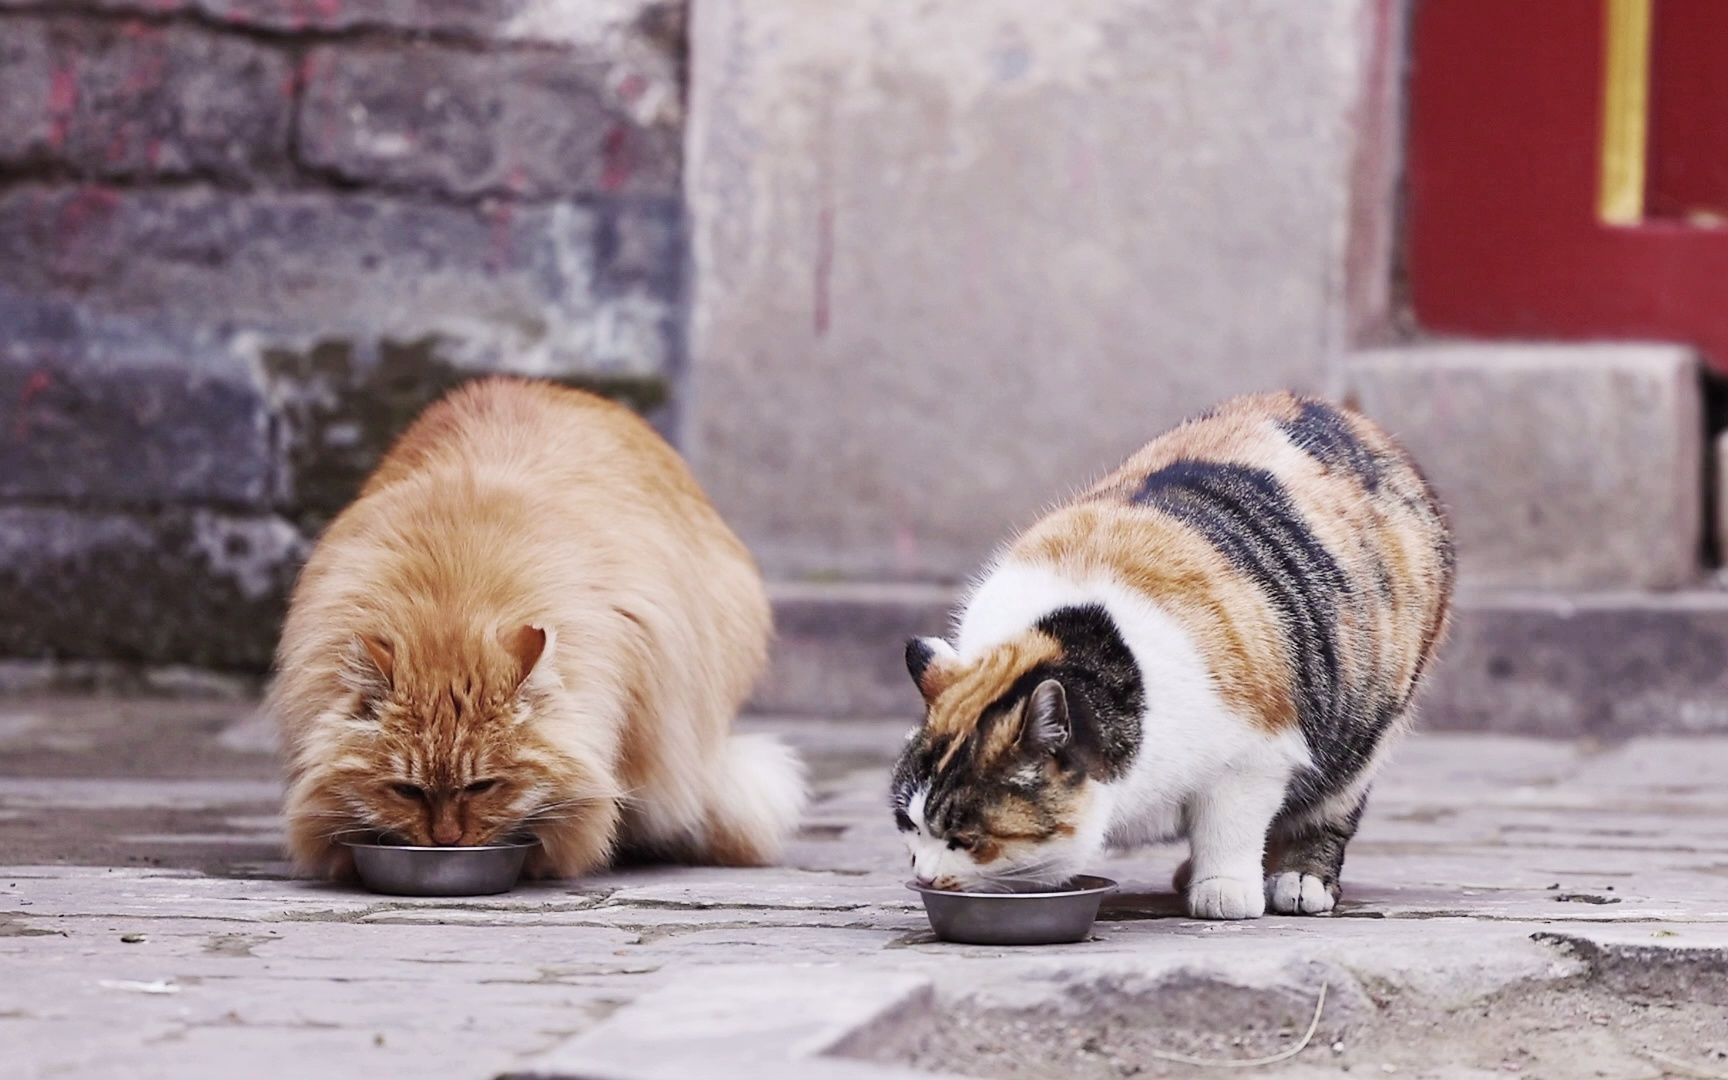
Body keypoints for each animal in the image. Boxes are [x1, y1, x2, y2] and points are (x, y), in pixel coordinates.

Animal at [898, 395, 1451, 919]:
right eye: (908, 824)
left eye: (965, 840)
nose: (924, 876)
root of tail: (1350, 418)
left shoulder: (1257, 754)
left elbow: (1232, 824)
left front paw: (1225, 888)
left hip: (1365, 728)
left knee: (1330, 804)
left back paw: (1297, 878)